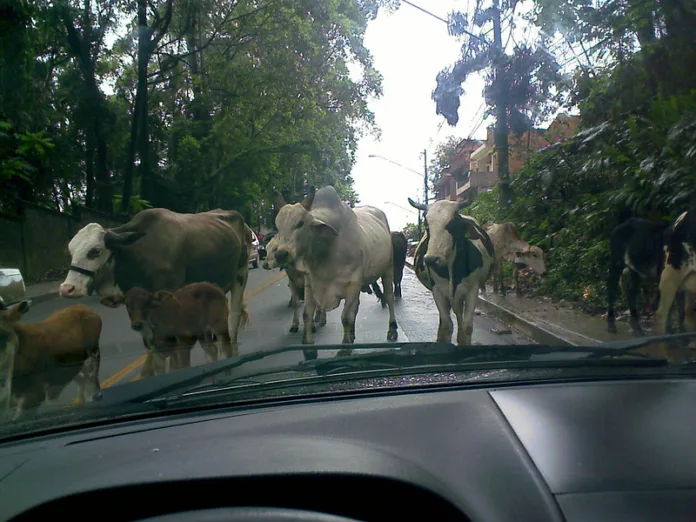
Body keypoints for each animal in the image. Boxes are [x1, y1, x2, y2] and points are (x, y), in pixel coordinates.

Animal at [100, 280, 237, 374]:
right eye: (127, 305)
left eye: (147, 303)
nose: (137, 324)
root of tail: (214, 286)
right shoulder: (156, 352)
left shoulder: (183, 343)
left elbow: (183, 367)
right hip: (203, 333)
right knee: (212, 351)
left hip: (220, 325)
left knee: (226, 349)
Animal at [274, 184, 400, 358]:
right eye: (277, 226)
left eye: (300, 223)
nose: (281, 254)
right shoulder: (310, 283)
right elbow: (307, 314)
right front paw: (309, 349)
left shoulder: (353, 281)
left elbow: (346, 317)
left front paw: (345, 348)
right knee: (356, 306)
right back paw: (352, 335)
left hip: (387, 269)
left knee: (388, 296)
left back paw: (392, 329)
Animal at [408, 197, 494, 344]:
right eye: (427, 225)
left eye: (452, 223)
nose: (431, 259)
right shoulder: (437, 290)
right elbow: (447, 325)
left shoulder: (472, 289)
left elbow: (467, 326)